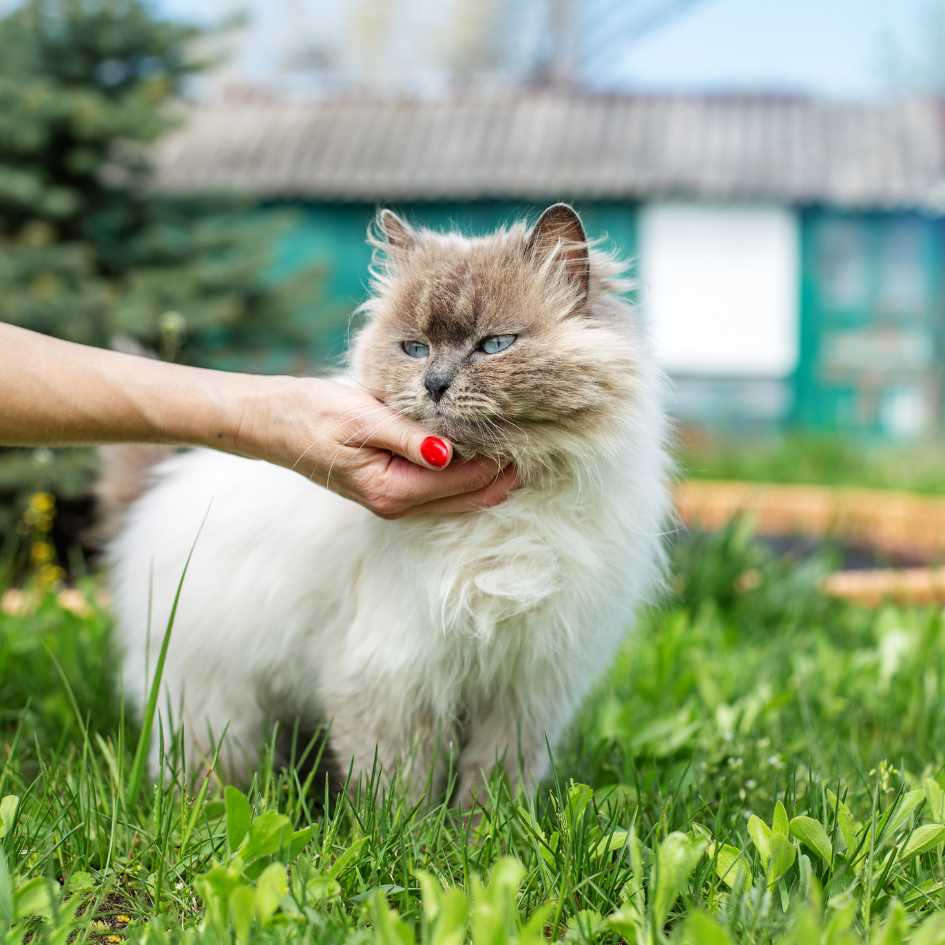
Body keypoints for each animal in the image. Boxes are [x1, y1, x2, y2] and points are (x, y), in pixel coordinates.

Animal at [105, 201, 672, 804]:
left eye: (494, 345)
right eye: (414, 349)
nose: (435, 384)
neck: (502, 515)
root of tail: (163, 483)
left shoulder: (525, 688)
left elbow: (492, 787)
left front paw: (485, 831)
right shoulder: (395, 675)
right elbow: (398, 789)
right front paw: (406, 830)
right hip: (212, 706)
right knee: (205, 771)